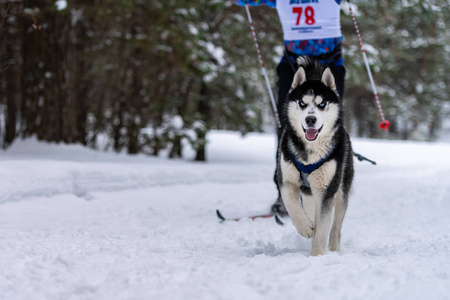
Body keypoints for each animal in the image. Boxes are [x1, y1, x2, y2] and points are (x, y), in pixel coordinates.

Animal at [276, 58, 354, 255]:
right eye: (302, 103)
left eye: (322, 104)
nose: (310, 119)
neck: (310, 152)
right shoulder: (286, 180)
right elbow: (291, 205)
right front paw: (304, 227)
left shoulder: (326, 191)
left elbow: (322, 230)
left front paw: (318, 255)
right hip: (310, 195)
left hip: (340, 192)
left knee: (335, 227)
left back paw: (334, 249)